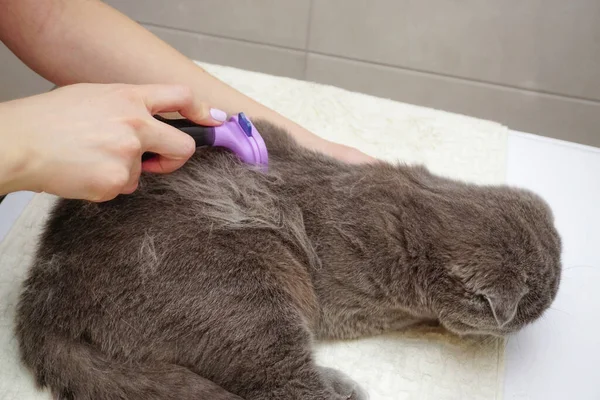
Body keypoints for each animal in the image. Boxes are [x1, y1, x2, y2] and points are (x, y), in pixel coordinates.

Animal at [14, 120, 564, 398]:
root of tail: (39, 304)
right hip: (243, 301)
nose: (550, 304)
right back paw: (343, 389)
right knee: (281, 386)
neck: (414, 207)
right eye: (538, 307)